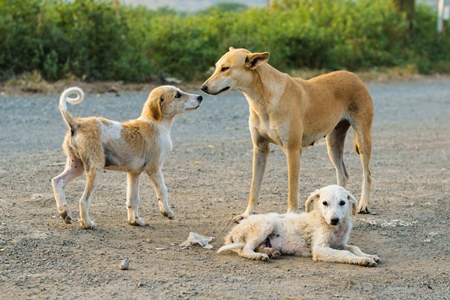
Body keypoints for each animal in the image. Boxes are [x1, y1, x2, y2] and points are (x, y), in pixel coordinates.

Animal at [50, 85, 202, 229]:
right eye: (178, 95)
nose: (200, 97)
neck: (155, 123)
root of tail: (77, 123)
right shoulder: (154, 169)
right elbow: (163, 190)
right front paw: (167, 212)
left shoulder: (133, 174)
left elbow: (133, 199)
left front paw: (135, 221)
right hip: (95, 169)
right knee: (83, 200)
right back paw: (87, 224)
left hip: (76, 167)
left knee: (57, 181)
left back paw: (64, 212)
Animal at [202, 45, 374, 221]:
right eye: (216, 67)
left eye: (225, 68)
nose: (203, 88)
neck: (263, 98)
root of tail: (354, 76)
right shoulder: (260, 149)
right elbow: (254, 188)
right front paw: (247, 214)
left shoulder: (292, 150)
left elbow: (292, 191)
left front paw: (290, 215)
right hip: (333, 144)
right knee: (343, 174)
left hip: (363, 139)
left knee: (366, 174)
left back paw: (364, 205)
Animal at [218, 185, 380, 268]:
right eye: (324, 203)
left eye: (342, 203)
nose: (334, 220)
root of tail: (233, 232)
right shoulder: (320, 249)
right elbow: (346, 254)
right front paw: (362, 260)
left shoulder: (339, 244)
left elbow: (354, 248)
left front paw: (368, 256)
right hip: (266, 224)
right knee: (244, 249)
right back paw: (259, 256)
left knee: (254, 246)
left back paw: (271, 251)